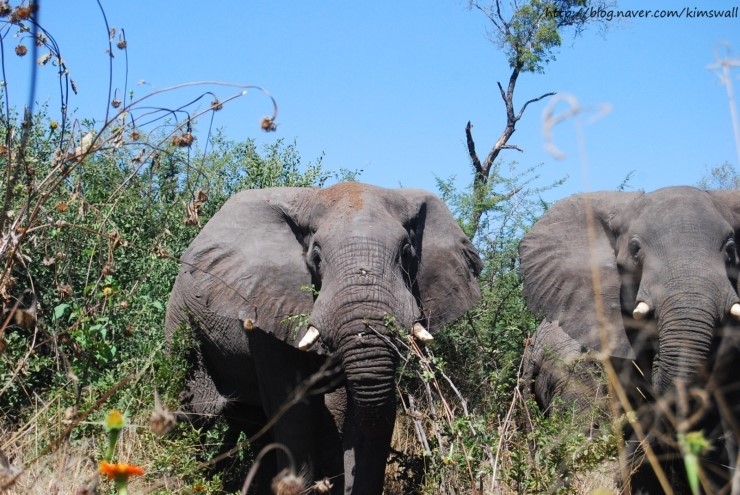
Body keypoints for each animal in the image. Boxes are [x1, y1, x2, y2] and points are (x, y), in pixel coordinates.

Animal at [165, 180, 482, 494]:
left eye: (406, 252)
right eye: (316, 257)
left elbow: (364, 411)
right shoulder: (267, 312)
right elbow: (295, 411)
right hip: (181, 322)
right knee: (193, 412)